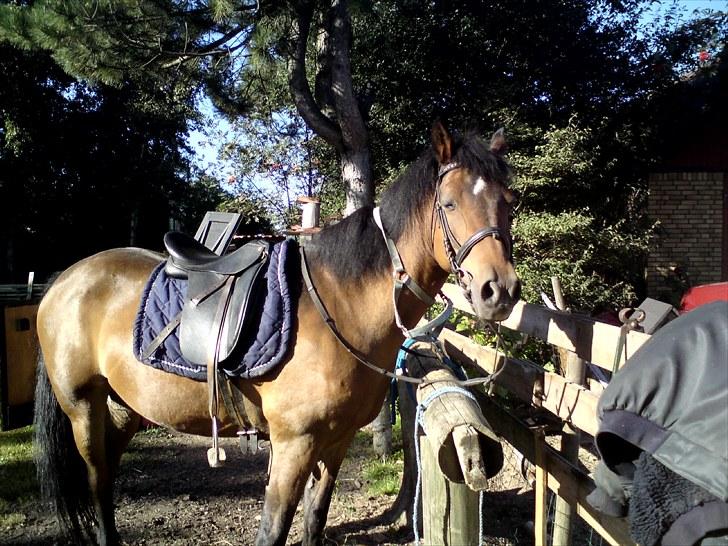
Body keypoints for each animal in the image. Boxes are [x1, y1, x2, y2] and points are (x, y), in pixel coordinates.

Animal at [34, 122, 520, 546]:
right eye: (450, 203)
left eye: (509, 202)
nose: (499, 291)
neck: (341, 305)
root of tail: (64, 279)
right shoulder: (293, 446)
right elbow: (274, 530)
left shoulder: (336, 442)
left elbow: (314, 520)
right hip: (83, 407)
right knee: (97, 477)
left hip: (125, 408)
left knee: (107, 473)